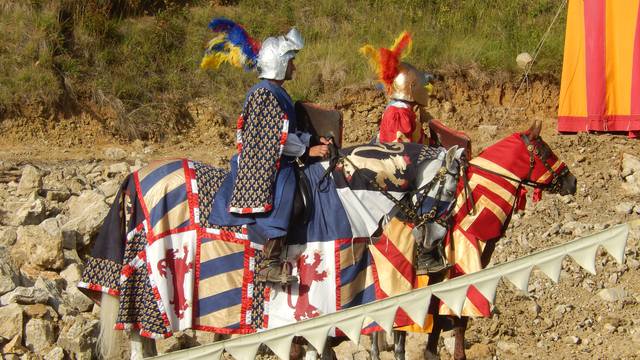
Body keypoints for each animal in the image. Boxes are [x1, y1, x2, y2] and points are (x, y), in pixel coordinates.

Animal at [80, 139, 464, 358]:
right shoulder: (325, 300)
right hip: (149, 287)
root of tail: (137, 177)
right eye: (449, 189)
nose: (434, 243)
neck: (348, 198)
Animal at [368, 121, 576, 360]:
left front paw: (431, 351)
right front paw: (455, 354)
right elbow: (458, 315)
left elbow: (439, 311)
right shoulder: (465, 266)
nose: (572, 182)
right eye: (545, 151)